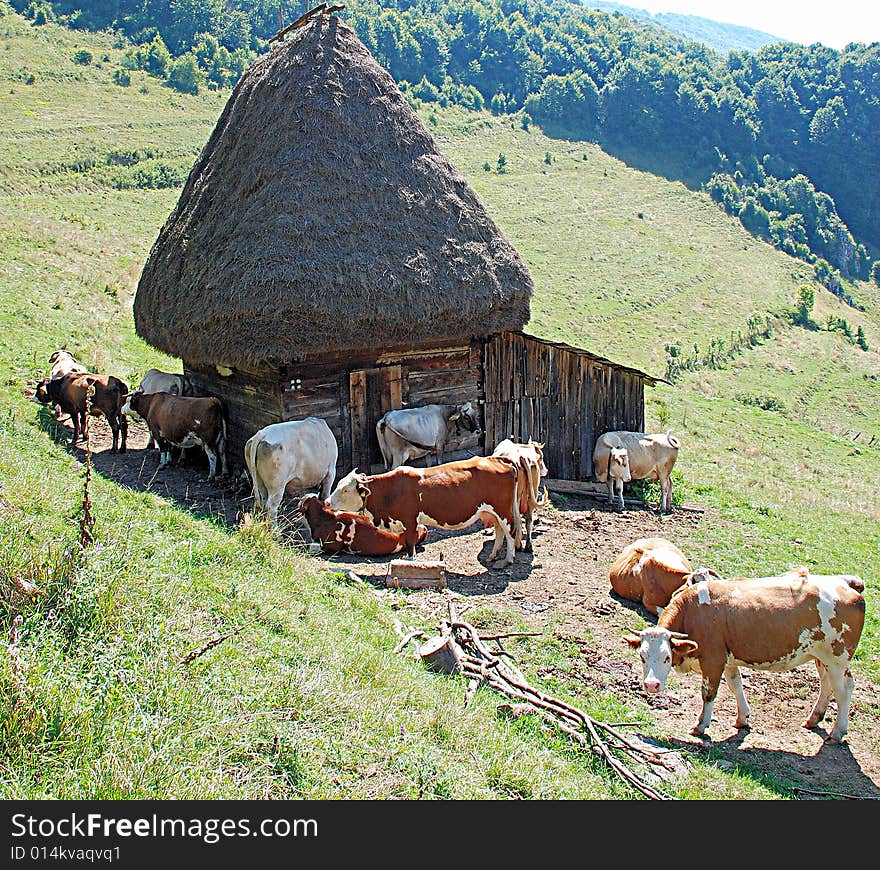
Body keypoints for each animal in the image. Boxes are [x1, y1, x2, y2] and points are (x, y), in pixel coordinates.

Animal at [330, 460, 524, 568]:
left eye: (346, 489)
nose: (326, 502)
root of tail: (503, 463)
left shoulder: (410, 520)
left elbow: (410, 544)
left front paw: (410, 562)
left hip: (503, 511)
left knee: (511, 532)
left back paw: (507, 560)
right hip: (494, 512)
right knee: (500, 531)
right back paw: (493, 556)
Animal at [624, 568, 868, 744]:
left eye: (666, 657)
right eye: (642, 656)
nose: (652, 685)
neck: (692, 612)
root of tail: (845, 584)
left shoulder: (713, 660)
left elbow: (708, 694)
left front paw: (700, 725)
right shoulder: (728, 660)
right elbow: (735, 685)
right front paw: (742, 718)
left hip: (837, 658)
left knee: (843, 690)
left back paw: (838, 732)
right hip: (822, 656)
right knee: (827, 685)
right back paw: (814, 718)